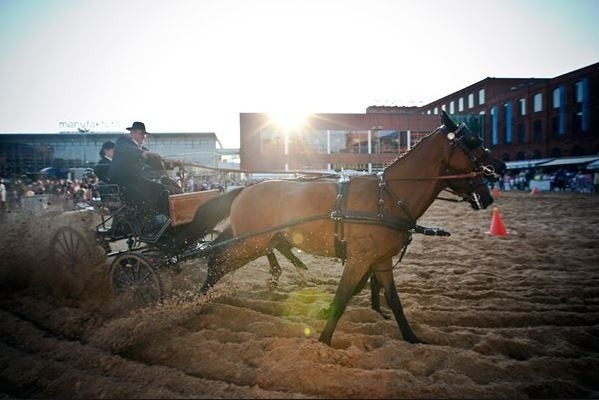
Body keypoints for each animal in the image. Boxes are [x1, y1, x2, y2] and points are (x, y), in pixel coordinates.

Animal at [175, 111, 506, 346]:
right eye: (472, 141)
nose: (501, 168)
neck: (387, 197)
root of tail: (244, 188)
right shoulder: (360, 259)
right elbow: (343, 296)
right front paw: (324, 341)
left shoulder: (381, 260)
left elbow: (394, 301)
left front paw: (412, 338)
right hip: (251, 244)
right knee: (216, 261)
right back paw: (195, 301)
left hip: (254, 239)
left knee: (224, 257)